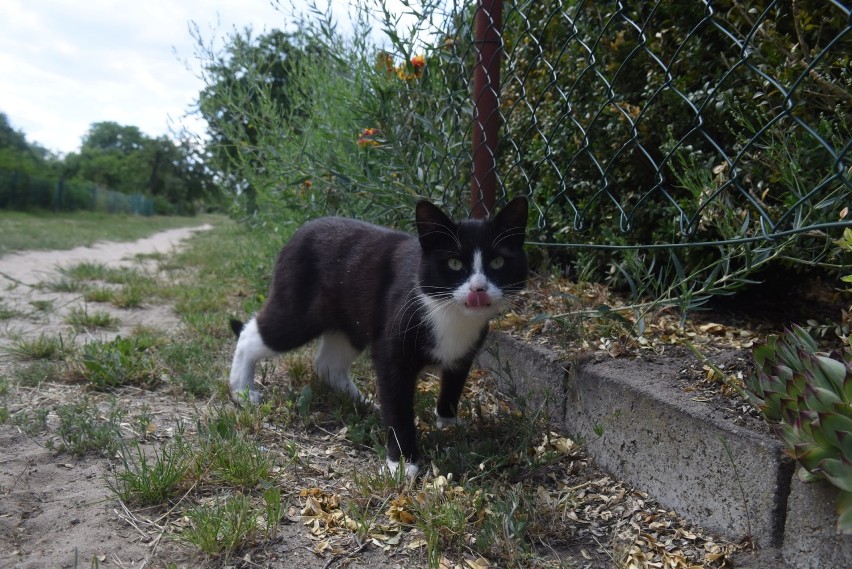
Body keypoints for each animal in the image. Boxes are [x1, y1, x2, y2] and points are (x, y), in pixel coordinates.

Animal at [230, 197, 528, 472]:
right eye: (454, 263)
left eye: (498, 261)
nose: (479, 289)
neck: (450, 313)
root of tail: (300, 231)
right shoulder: (392, 352)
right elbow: (398, 404)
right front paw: (402, 463)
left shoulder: (464, 352)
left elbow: (453, 385)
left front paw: (448, 423)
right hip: (298, 309)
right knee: (254, 334)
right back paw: (242, 390)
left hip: (351, 321)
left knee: (328, 363)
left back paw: (362, 402)